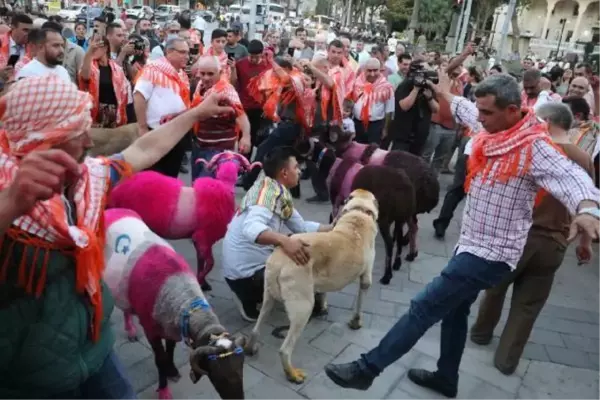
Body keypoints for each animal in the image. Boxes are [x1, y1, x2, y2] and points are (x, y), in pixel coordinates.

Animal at [103, 209, 246, 400]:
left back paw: (131, 330)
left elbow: (169, 350)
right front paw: (164, 390)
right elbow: (160, 359)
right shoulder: (151, 329)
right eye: (217, 375)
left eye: (241, 368)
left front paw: (172, 371)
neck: (182, 298)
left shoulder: (170, 324)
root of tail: (112, 210)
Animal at [109, 152, 258, 290]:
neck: (223, 187)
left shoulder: (197, 239)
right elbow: (210, 263)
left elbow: (201, 261)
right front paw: (200, 279)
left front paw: (203, 283)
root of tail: (117, 191)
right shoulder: (204, 237)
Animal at [245, 190, 378, 384]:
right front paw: (356, 322)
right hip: (303, 307)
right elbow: (360, 301)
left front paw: (323, 307)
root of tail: (280, 258)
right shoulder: (366, 277)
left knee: (256, 328)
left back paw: (251, 347)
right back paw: (292, 374)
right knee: (285, 349)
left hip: (268, 296)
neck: (359, 211)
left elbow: (323, 292)